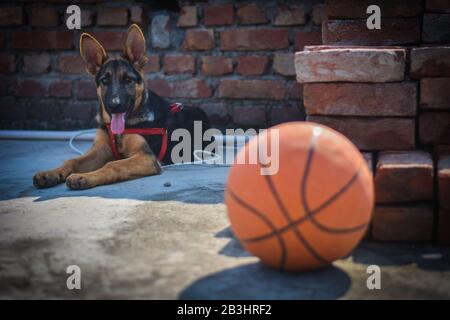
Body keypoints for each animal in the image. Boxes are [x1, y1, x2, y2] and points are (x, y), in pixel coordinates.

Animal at [33, 25, 209, 190]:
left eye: (128, 80)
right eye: (105, 81)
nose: (114, 106)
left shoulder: (147, 158)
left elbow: (113, 165)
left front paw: (84, 177)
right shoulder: (100, 150)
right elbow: (73, 160)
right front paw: (50, 173)